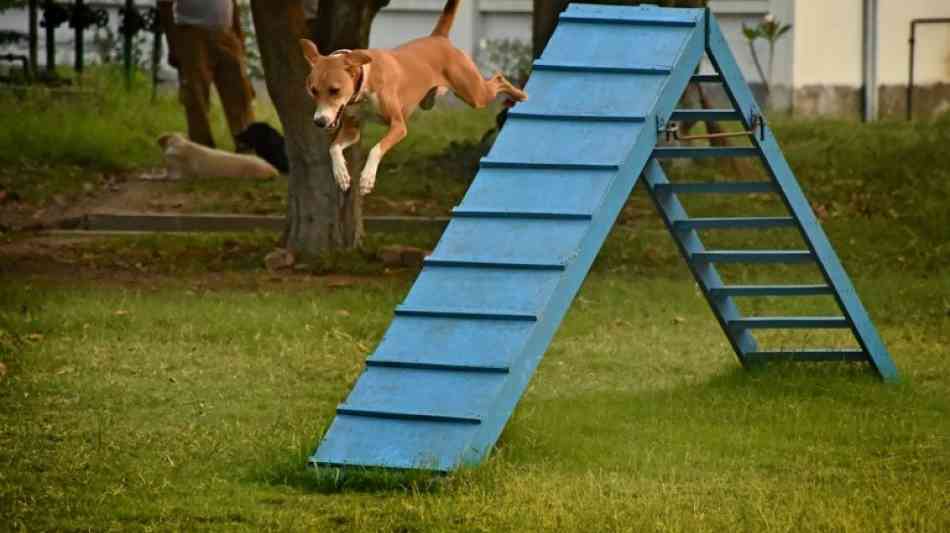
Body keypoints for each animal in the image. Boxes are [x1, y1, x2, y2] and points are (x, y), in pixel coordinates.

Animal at [302, 0, 528, 195]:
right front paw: (341, 175)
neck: (364, 83)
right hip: (430, 101)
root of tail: (439, 38)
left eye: (334, 90)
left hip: (475, 94)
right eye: (313, 91)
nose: (319, 121)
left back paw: (520, 95)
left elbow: (375, 149)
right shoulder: (351, 130)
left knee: (498, 79)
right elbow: (333, 147)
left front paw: (366, 179)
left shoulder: (398, 126)